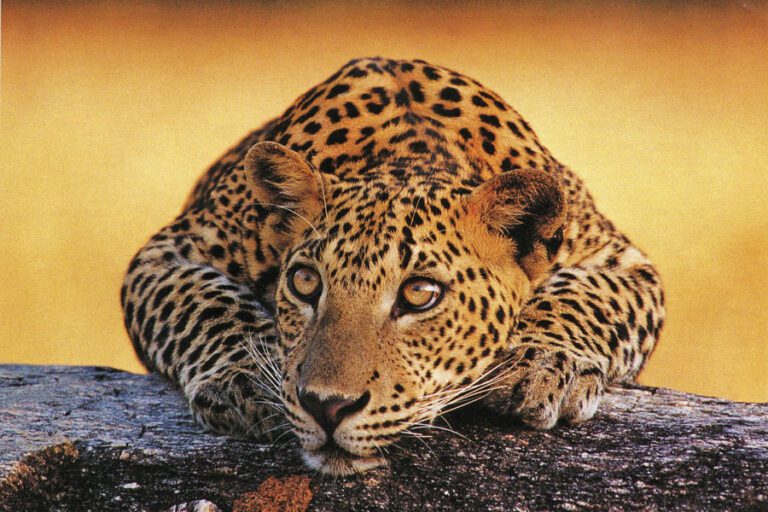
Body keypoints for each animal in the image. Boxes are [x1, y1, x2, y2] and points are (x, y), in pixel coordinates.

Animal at [121, 57, 665, 476]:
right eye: (305, 282)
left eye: (420, 294)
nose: (326, 406)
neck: (407, 156)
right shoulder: (171, 252)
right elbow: (205, 304)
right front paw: (247, 378)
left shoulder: (622, 262)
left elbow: (586, 299)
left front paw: (543, 367)